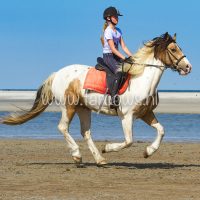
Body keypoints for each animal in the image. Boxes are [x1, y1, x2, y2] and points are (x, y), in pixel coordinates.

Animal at [1, 32, 192, 166]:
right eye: (173, 49)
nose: (188, 67)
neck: (142, 79)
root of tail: (57, 73)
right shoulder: (126, 116)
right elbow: (129, 141)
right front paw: (107, 148)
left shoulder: (145, 114)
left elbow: (161, 130)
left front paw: (148, 152)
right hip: (68, 107)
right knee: (63, 127)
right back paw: (78, 156)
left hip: (83, 109)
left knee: (86, 133)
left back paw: (99, 160)